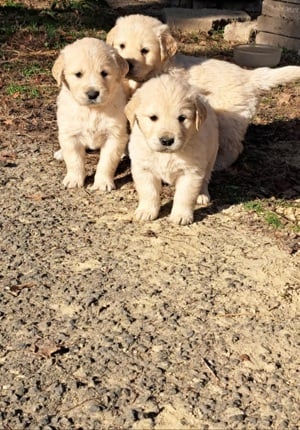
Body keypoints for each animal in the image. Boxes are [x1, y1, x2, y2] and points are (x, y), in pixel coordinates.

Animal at [51, 37, 129, 191]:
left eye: (104, 73)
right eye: (78, 74)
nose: (93, 94)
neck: (92, 110)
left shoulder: (114, 136)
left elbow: (107, 162)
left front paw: (102, 182)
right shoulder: (70, 135)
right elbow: (74, 159)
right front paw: (74, 179)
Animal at [107, 14, 300, 170]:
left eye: (145, 51)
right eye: (121, 46)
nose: (128, 63)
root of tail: (249, 75)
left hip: (229, 119)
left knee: (234, 147)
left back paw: (219, 164)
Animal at [125, 74, 219, 227]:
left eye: (182, 118)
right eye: (153, 117)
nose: (167, 141)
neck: (166, 155)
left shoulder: (191, 172)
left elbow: (185, 196)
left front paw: (181, 215)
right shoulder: (144, 169)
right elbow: (148, 192)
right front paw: (146, 211)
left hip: (211, 155)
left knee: (205, 178)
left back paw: (202, 195)